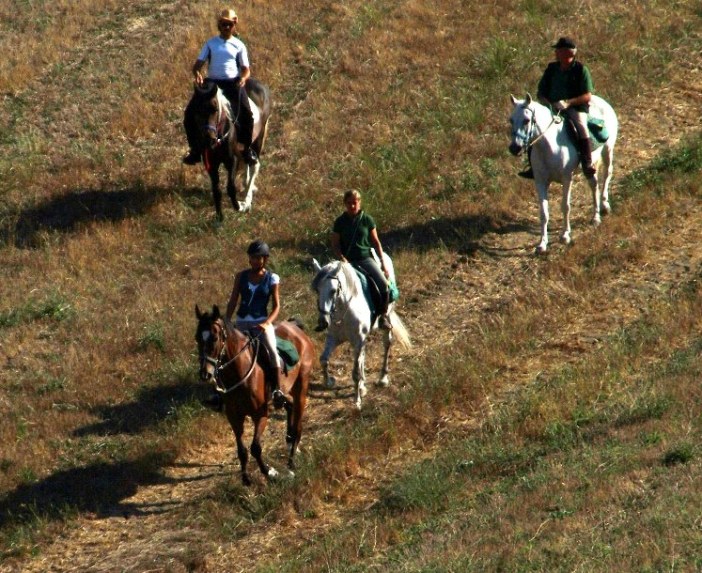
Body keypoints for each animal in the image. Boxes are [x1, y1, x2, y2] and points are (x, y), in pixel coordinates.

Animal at [190, 77, 272, 218]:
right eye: (197, 110)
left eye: (215, 109)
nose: (208, 139)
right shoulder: (211, 164)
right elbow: (216, 190)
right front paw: (219, 216)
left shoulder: (232, 160)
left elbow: (230, 187)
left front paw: (238, 206)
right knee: (247, 163)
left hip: (259, 137)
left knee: (254, 165)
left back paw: (247, 200)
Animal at [194, 304, 312, 482]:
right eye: (197, 338)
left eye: (214, 338)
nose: (205, 374)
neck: (239, 373)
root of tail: (296, 328)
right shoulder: (234, 417)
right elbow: (242, 450)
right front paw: (245, 478)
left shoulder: (260, 414)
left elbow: (255, 447)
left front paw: (269, 471)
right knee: (289, 406)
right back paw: (289, 442)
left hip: (301, 388)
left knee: (298, 423)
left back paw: (291, 461)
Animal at [312, 255, 412, 412]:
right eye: (317, 290)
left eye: (333, 291)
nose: (323, 322)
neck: (344, 309)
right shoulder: (334, 338)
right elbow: (323, 359)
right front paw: (329, 381)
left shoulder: (358, 340)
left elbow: (355, 372)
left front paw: (356, 401)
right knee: (362, 356)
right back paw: (363, 386)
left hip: (386, 319)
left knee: (387, 344)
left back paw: (383, 379)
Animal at [508, 94, 620, 252]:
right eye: (511, 120)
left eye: (526, 120)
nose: (514, 148)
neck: (549, 146)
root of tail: (601, 101)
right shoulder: (540, 182)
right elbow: (543, 212)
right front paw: (542, 243)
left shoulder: (567, 178)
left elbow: (565, 206)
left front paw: (565, 235)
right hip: (591, 165)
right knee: (594, 184)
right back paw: (595, 217)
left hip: (608, 150)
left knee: (607, 175)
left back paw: (604, 206)